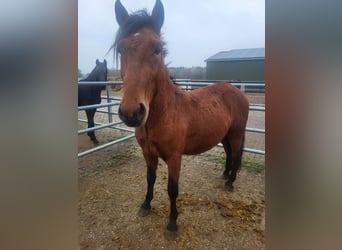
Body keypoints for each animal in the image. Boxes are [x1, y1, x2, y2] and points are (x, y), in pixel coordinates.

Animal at [114, 0, 248, 240]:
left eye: (157, 49)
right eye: (120, 49)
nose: (131, 112)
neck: (164, 114)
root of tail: (237, 91)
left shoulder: (174, 157)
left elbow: (172, 189)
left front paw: (172, 224)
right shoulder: (148, 153)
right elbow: (150, 179)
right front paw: (145, 205)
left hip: (236, 133)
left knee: (234, 156)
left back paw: (230, 183)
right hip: (223, 135)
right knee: (228, 154)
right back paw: (224, 176)